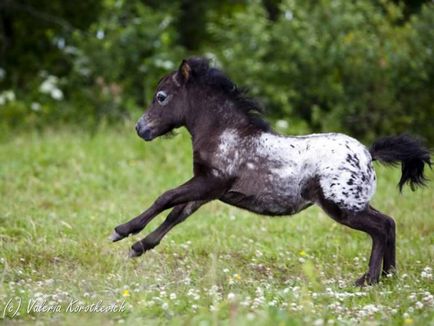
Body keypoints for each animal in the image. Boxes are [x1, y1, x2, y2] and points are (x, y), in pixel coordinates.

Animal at [109, 58, 430, 286]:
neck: (225, 134)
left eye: (161, 97)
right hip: (354, 203)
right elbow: (176, 214)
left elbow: (165, 198)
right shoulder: (209, 190)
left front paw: (122, 231)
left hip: (341, 206)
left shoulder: (209, 182)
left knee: (380, 228)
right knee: (389, 223)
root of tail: (367, 154)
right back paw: (389, 277)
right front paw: (138, 246)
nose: (140, 128)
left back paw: (369, 280)